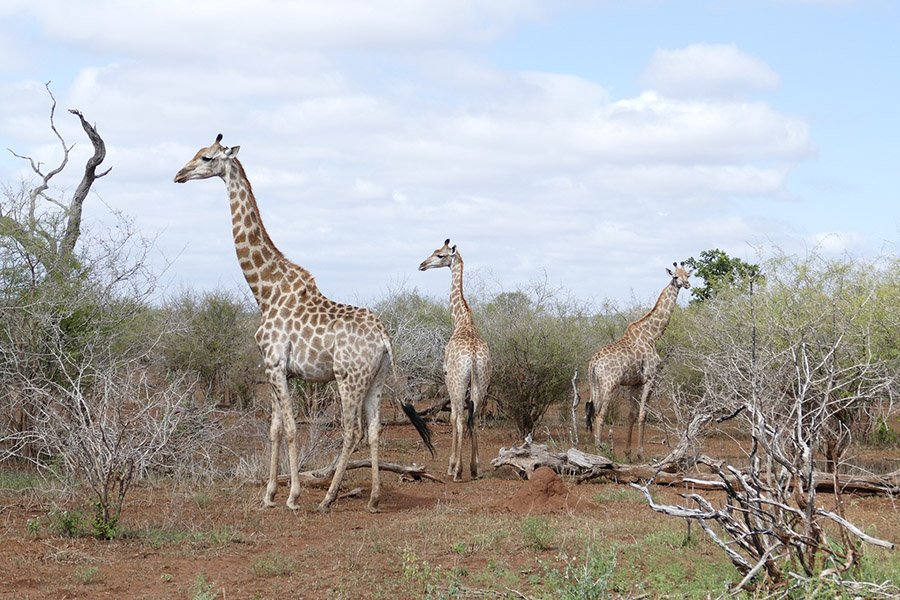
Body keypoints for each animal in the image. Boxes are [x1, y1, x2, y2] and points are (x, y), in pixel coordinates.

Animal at [174, 135, 434, 510]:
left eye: (206, 157)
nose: (179, 174)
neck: (265, 290)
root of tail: (384, 336)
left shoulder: (275, 364)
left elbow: (291, 428)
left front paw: (292, 496)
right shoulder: (275, 369)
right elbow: (274, 429)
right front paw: (269, 494)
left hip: (348, 377)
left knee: (352, 430)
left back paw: (327, 497)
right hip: (377, 377)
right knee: (373, 429)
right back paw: (372, 498)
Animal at [420, 240, 492, 482]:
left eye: (440, 255)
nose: (422, 265)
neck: (462, 319)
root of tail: (473, 356)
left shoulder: (447, 377)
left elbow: (452, 418)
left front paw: (452, 465)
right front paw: (472, 467)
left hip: (458, 381)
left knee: (459, 418)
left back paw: (457, 470)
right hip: (481, 382)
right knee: (475, 417)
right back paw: (475, 468)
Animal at [588, 262, 692, 460]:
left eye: (687, 275)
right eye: (675, 276)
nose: (687, 284)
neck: (653, 334)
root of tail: (593, 363)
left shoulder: (634, 383)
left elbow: (631, 414)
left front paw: (628, 453)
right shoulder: (650, 377)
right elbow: (643, 414)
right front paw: (640, 454)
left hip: (596, 385)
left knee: (593, 411)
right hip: (609, 384)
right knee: (600, 414)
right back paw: (599, 450)